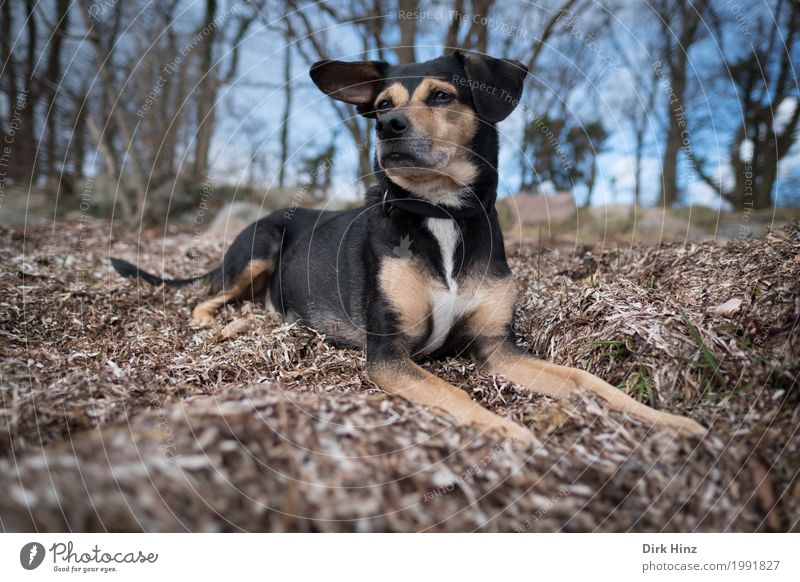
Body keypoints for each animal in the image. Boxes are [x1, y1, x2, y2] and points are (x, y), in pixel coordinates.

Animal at [109, 51, 704, 442]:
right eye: (381, 104)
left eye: (442, 95)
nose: (388, 127)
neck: (439, 213)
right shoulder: (388, 355)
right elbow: (456, 394)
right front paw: (511, 434)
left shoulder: (499, 348)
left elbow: (588, 381)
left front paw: (669, 420)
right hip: (260, 244)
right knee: (204, 299)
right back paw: (217, 324)